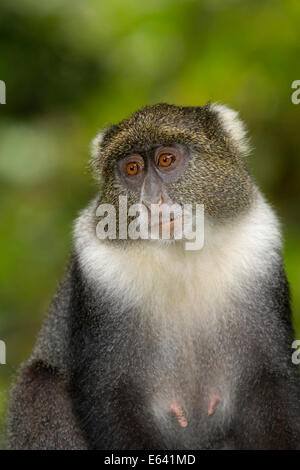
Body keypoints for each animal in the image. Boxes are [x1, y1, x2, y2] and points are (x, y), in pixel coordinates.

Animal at [5, 103, 300, 452]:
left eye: (166, 160)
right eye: (132, 169)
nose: (151, 201)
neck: (181, 255)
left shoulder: (257, 253)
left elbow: (271, 381)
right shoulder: (100, 272)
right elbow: (112, 397)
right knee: (39, 384)